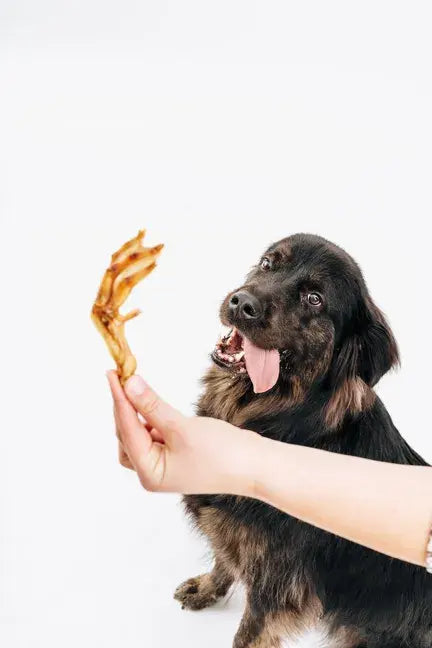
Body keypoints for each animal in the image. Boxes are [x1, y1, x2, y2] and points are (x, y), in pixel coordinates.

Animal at [174, 234, 430, 648]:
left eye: (314, 299)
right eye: (268, 263)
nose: (242, 303)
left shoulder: (278, 589)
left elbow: (247, 634)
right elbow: (224, 556)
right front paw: (208, 587)